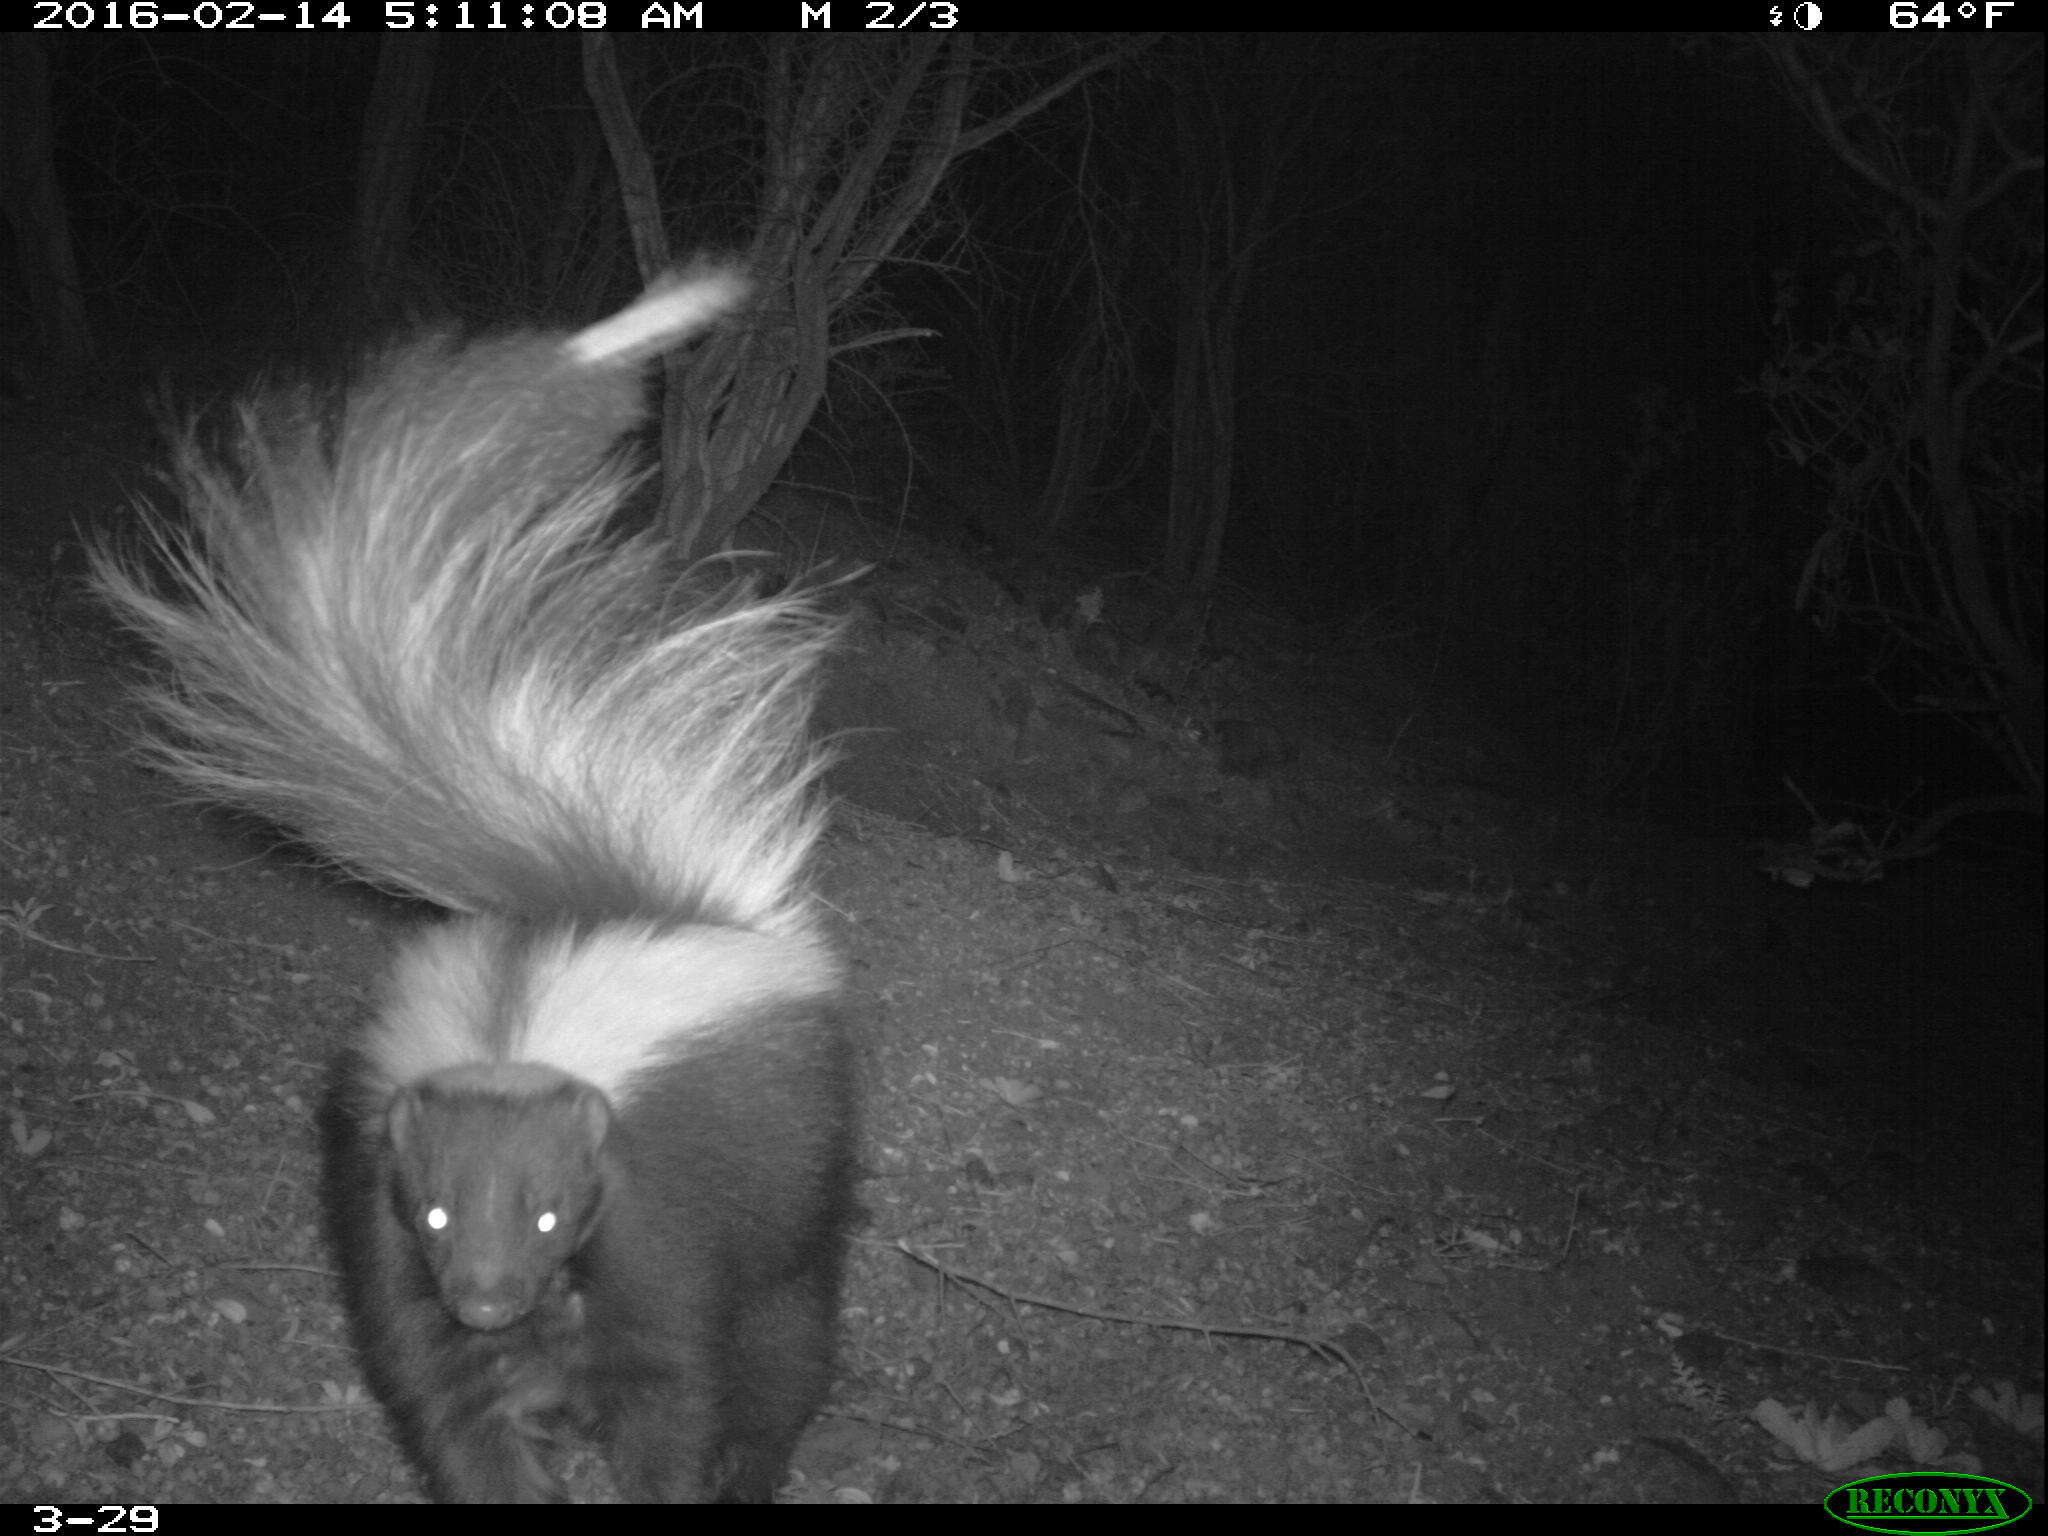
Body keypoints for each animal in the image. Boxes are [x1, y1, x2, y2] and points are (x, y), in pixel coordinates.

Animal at [90, 270, 847, 1507]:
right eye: (440, 1208)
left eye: (546, 1212)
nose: (487, 1298)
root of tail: (674, 905)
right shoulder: (382, 1218)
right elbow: (450, 1400)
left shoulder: (658, 1224)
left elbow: (672, 1386)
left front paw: (685, 1468)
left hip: (801, 1169)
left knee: (788, 1327)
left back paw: (759, 1457)